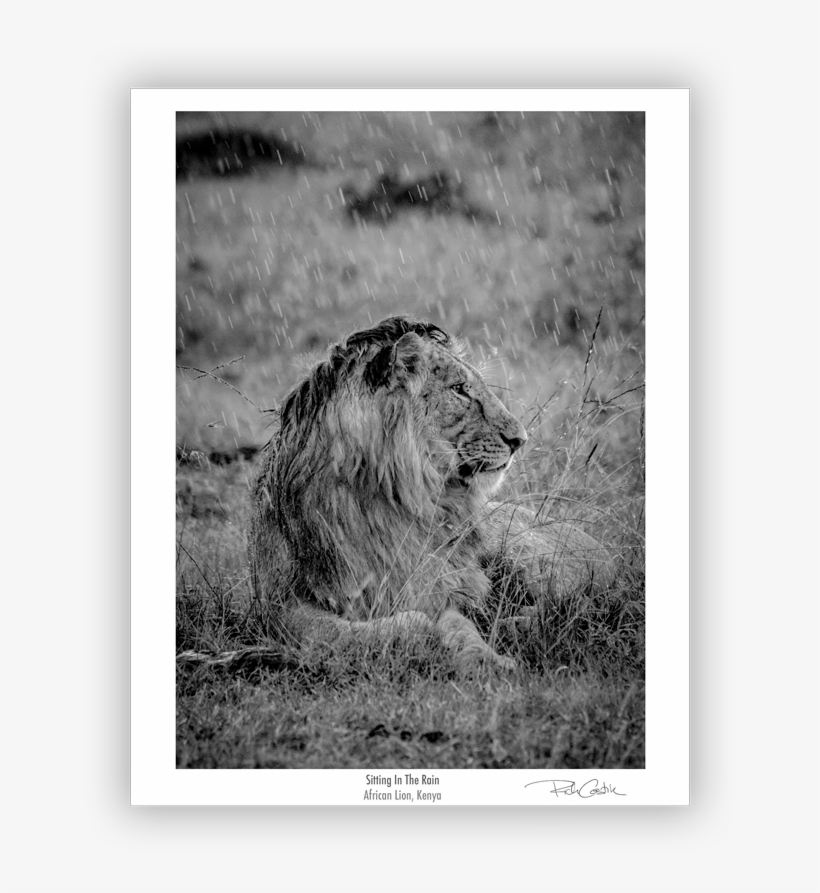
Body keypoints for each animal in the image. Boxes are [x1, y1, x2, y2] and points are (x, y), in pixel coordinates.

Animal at [248, 315, 613, 673]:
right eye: (459, 390)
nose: (520, 439)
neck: (392, 496)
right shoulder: (281, 606)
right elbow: (347, 632)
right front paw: (429, 638)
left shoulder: (442, 584)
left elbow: (457, 623)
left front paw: (488, 659)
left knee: (575, 601)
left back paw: (512, 624)